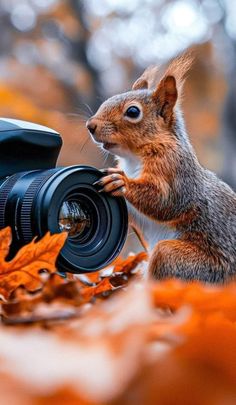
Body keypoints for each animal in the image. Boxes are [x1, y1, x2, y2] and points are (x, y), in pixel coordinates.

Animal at [86, 52, 236, 280]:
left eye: (133, 111)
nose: (90, 126)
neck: (133, 158)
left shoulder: (175, 169)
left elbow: (166, 202)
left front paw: (121, 182)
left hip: (189, 266)